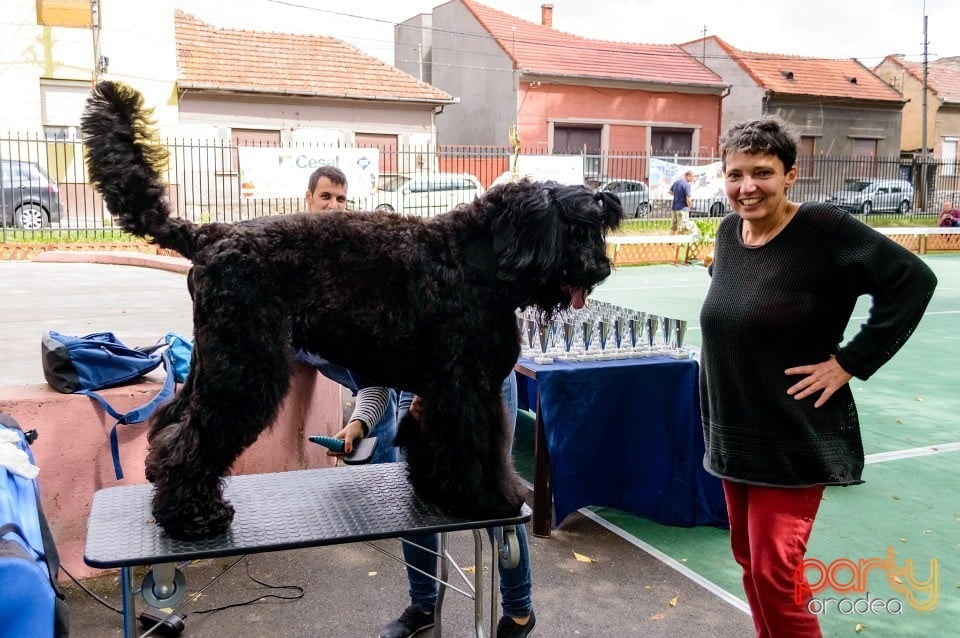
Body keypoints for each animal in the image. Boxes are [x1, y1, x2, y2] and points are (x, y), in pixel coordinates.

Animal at [80, 81, 624, 540]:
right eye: (577, 226)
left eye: (599, 226)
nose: (601, 267)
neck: (474, 259)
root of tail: (209, 234)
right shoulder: (468, 386)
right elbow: (478, 445)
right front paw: (491, 498)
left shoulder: (441, 388)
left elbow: (433, 435)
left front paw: (435, 488)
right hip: (244, 367)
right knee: (193, 439)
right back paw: (194, 516)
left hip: (215, 362)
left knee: (172, 422)